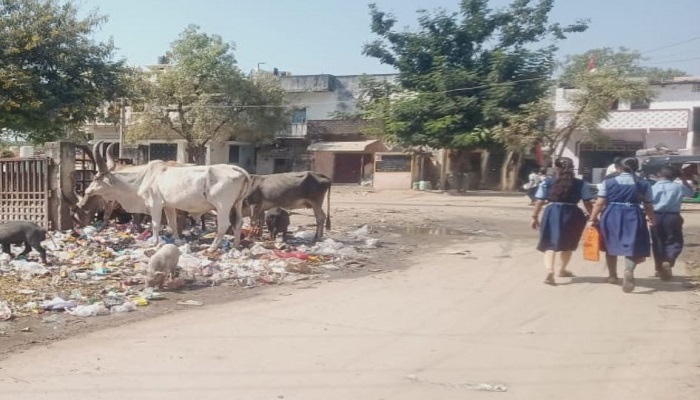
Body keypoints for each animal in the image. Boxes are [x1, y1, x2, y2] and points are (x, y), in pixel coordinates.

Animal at [78, 140, 252, 247]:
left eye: (96, 178)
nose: (87, 190)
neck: (144, 176)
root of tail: (238, 169)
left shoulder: (154, 203)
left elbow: (155, 223)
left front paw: (154, 242)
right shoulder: (168, 205)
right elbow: (172, 223)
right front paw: (177, 240)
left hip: (222, 206)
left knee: (223, 225)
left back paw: (212, 248)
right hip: (237, 204)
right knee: (238, 223)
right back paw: (235, 246)